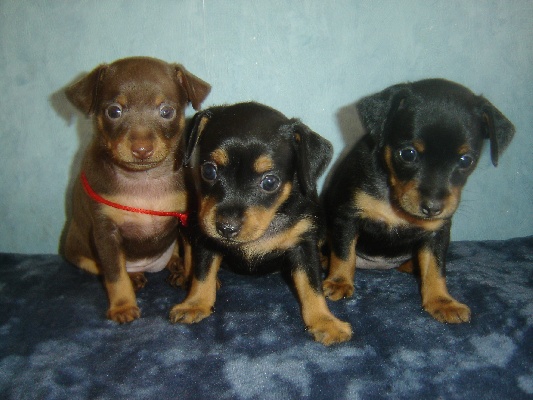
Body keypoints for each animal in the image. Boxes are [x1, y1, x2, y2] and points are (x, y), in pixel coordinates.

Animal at [64, 56, 210, 323]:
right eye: (114, 111)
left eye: (166, 111)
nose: (142, 149)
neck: (144, 179)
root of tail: (148, 266)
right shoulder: (105, 232)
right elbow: (114, 274)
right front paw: (122, 306)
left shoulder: (185, 218)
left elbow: (192, 254)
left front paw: (189, 278)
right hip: (76, 250)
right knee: (100, 267)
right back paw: (134, 277)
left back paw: (175, 266)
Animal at [169, 102, 352, 345]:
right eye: (208, 170)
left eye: (269, 182)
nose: (226, 228)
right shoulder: (206, 239)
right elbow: (202, 272)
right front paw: (195, 303)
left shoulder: (304, 244)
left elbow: (312, 286)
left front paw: (325, 321)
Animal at [322, 79, 515, 323]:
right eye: (408, 153)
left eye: (465, 160)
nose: (433, 208)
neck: (393, 195)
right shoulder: (347, 216)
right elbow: (344, 253)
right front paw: (339, 282)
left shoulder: (437, 232)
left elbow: (435, 268)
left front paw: (441, 301)